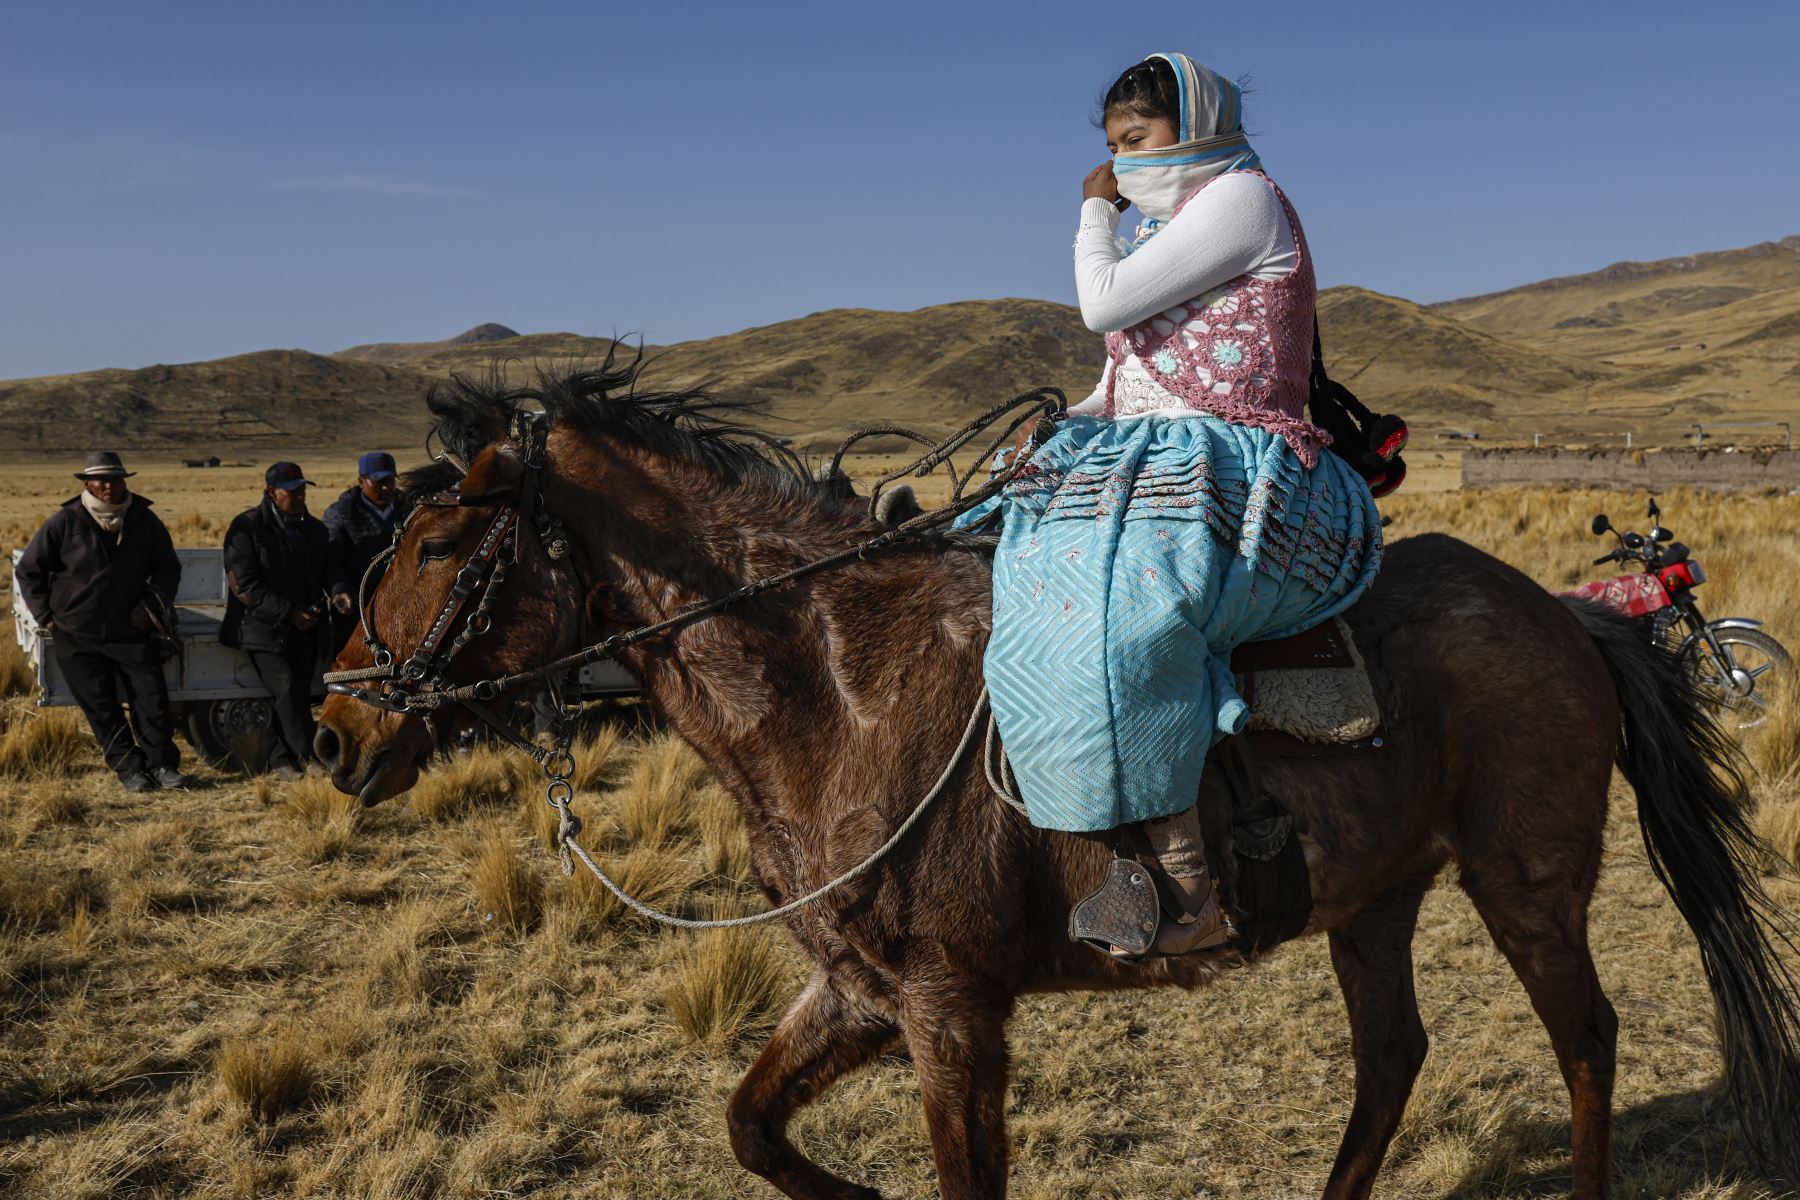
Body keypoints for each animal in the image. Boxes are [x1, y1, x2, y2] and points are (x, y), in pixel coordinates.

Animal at [316, 367, 1792, 1200]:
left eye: (439, 543)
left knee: (1584, 1036)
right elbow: (747, 1125)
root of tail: (1565, 615)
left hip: (1523, 879)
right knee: (1392, 1060)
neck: (840, 685)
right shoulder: (859, 993)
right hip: (1374, 898)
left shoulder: (953, 1011)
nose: (333, 734)